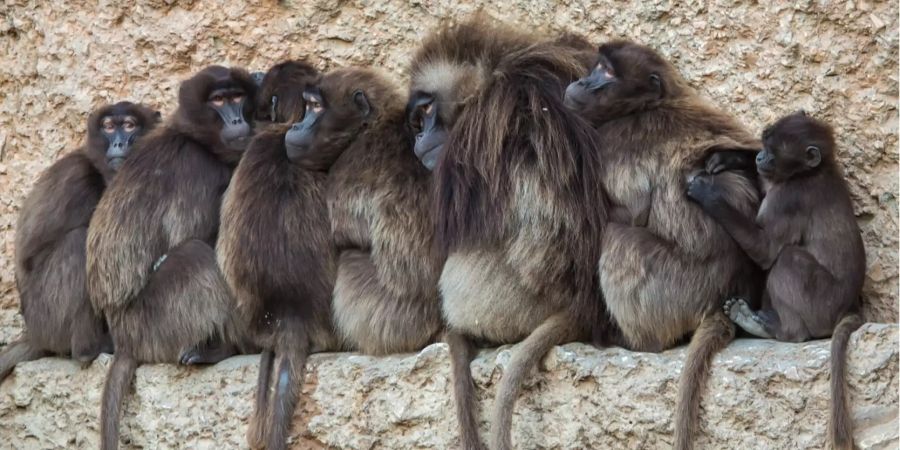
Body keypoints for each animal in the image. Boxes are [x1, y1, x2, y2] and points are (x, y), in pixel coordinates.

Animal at [688, 110, 864, 450]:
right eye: (765, 143)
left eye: (774, 150)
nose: (760, 156)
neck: (812, 171)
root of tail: (848, 308)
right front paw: (726, 158)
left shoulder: (790, 197)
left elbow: (766, 249)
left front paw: (707, 191)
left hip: (820, 305)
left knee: (787, 260)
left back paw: (778, 329)